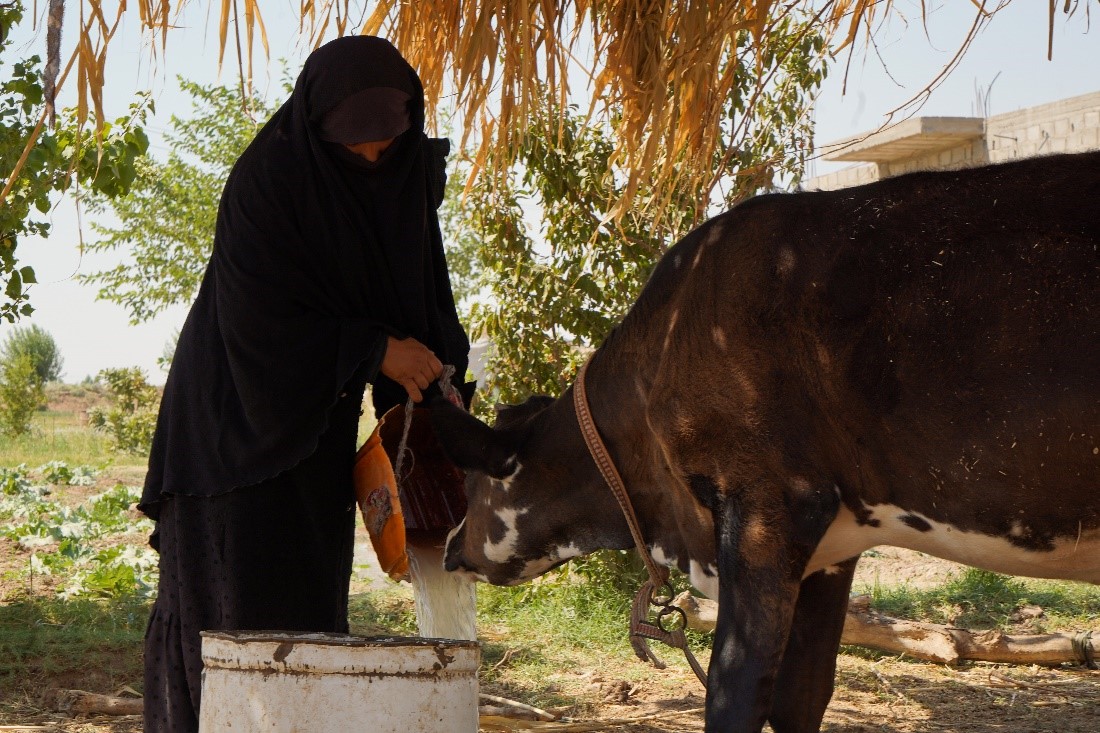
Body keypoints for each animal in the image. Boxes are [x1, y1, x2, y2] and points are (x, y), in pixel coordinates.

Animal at [424, 149, 1095, 730]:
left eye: (474, 485)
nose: (451, 544)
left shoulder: (769, 505)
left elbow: (736, 693)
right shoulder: (834, 547)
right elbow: (802, 695)